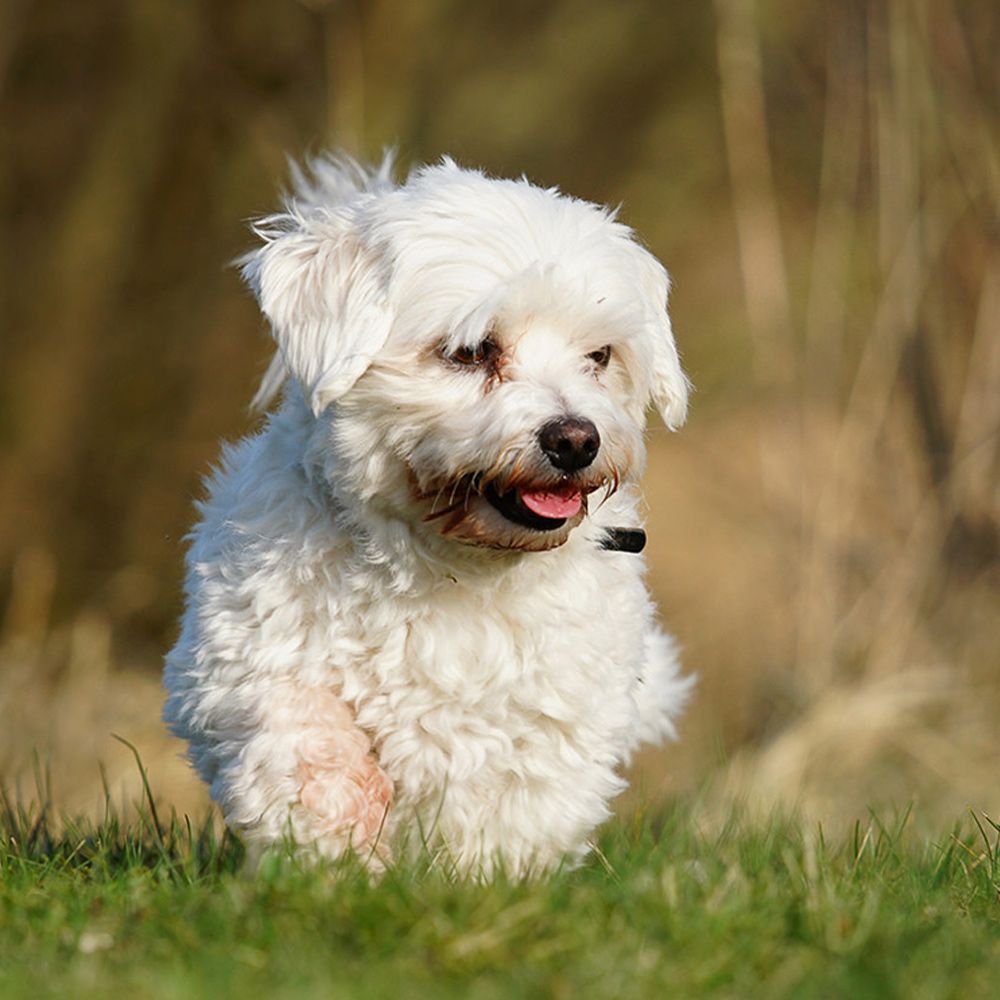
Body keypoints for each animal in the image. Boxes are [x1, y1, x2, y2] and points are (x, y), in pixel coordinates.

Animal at [164, 154, 696, 876]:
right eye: (470, 351)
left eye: (600, 356)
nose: (575, 439)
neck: (449, 564)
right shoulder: (244, 662)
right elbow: (305, 740)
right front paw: (338, 846)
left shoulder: (552, 722)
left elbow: (507, 812)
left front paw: (476, 882)